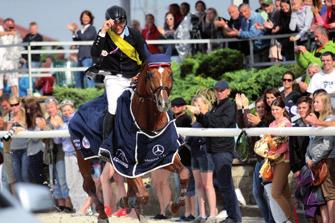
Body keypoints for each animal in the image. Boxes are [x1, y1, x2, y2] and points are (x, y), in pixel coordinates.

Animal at [68, 48, 190, 222]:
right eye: (149, 75)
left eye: (171, 73)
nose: (163, 103)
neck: (148, 124)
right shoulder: (127, 161)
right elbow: (143, 194)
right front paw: (129, 203)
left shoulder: (164, 156)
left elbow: (185, 173)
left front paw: (174, 206)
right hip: (83, 155)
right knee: (89, 185)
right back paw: (103, 214)